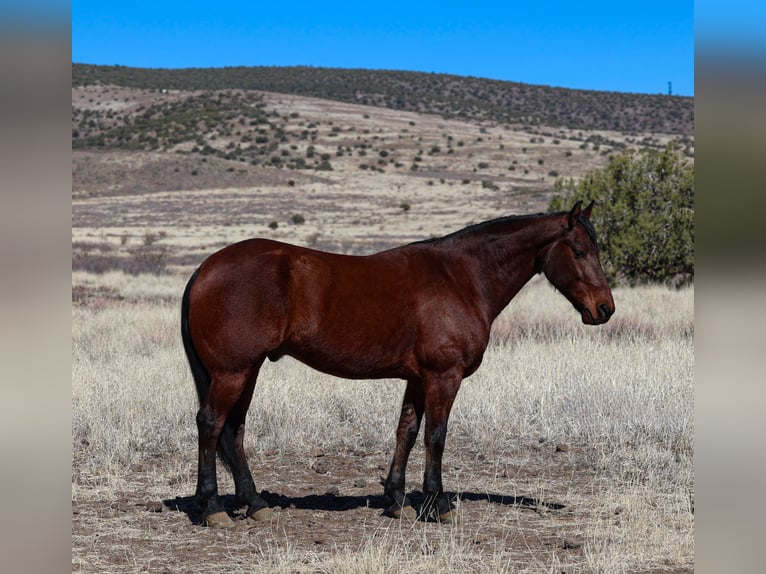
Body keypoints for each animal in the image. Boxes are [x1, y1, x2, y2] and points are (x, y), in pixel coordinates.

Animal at [182, 202, 616, 532]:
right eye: (579, 251)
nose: (604, 309)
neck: (462, 278)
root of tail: (206, 268)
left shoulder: (417, 379)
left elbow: (406, 433)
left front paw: (397, 501)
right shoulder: (443, 377)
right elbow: (436, 437)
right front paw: (438, 504)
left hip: (247, 371)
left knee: (234, 430)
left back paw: (255, 503)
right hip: (233, 372)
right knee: (211, 424)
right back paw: (214, 508)